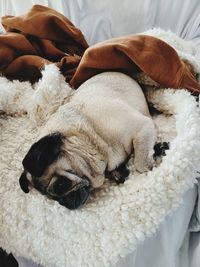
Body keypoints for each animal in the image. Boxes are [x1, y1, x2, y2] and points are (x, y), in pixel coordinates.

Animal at [19, 72, 156, 210]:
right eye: (52, 198)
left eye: (61, 185)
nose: (64, 203)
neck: (90, 135)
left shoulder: (142, 127)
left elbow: (140, 163)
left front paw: (148, 167)